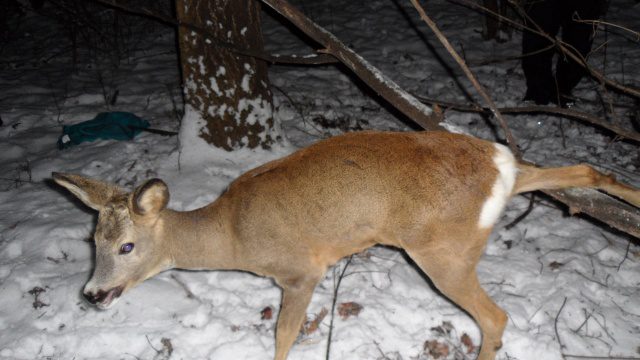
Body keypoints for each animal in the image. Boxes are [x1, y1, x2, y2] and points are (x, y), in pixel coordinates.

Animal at [52, 131, 636, 358]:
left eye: (126, 247)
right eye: (92, 239)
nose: (92, 294)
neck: (233, 234)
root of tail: (497, 166)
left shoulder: (300, 271)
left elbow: (284, 336)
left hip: (442, 252)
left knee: (495, 317)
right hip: (499, 197)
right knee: (585, 168)